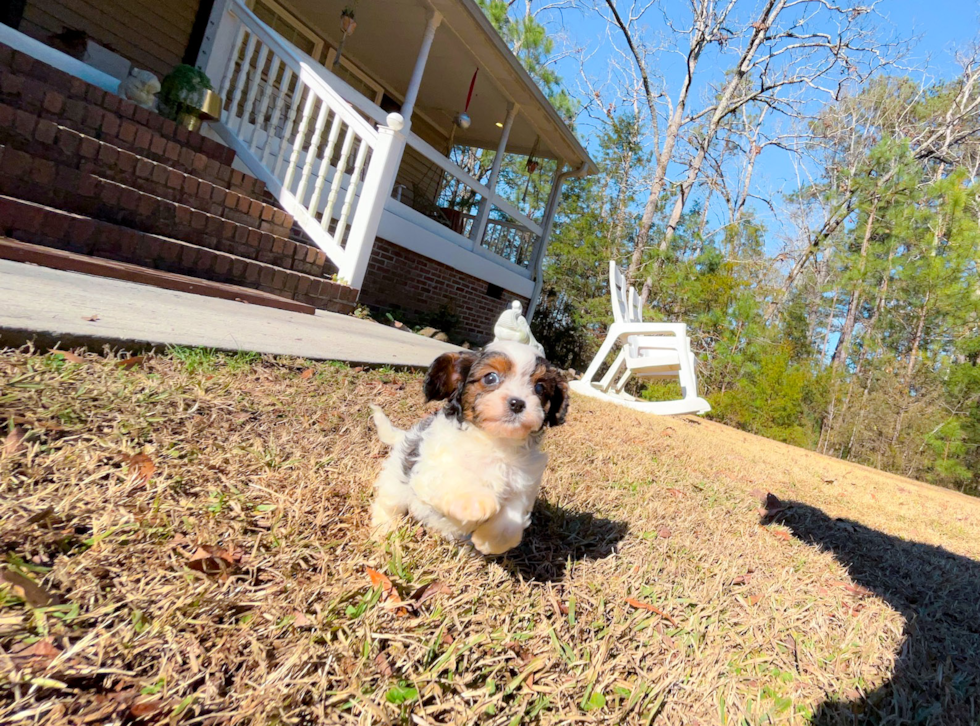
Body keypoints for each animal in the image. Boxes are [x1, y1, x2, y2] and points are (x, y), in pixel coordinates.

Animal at [368, 342, 568, 556]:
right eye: (490, 377)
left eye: (540, 388)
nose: (517, 403)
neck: (494, 441)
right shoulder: (431, 468)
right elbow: (454, 478)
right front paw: (476, 502)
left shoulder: (524, 485)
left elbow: (510, 521)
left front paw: (489, 541)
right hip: (396, 484)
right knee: (388, 505)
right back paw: (384, 529)